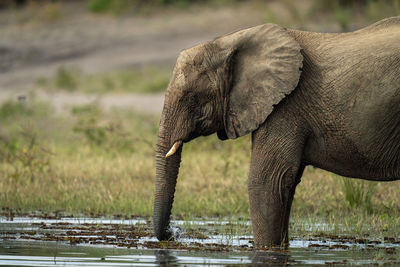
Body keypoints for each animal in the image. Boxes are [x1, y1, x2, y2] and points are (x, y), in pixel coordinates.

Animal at [153, 16, 400, 247]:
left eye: (191, 98)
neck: (229, 41)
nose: (176, 232)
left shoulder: (286, 105)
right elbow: (284, 184)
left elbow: (266, 182)